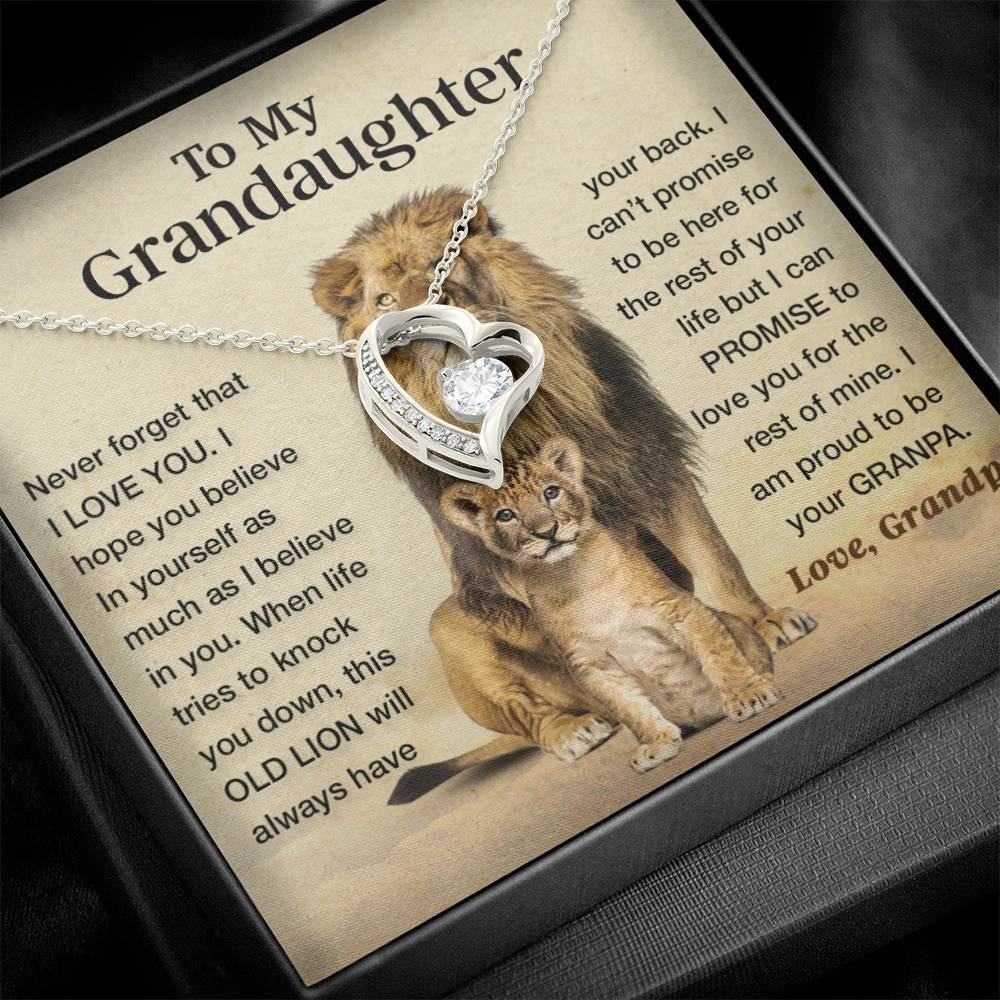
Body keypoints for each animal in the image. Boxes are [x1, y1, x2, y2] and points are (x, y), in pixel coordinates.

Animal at [437, 436, 777, 773]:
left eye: (551, 492)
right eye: (505, 515)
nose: (547, 532)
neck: (573, 577)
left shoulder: (679, 608)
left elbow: (720, 656)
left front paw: (749, 696)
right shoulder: (588, 662)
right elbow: (628, 707)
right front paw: (656, 744)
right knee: (533, 717)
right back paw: (575, 732)